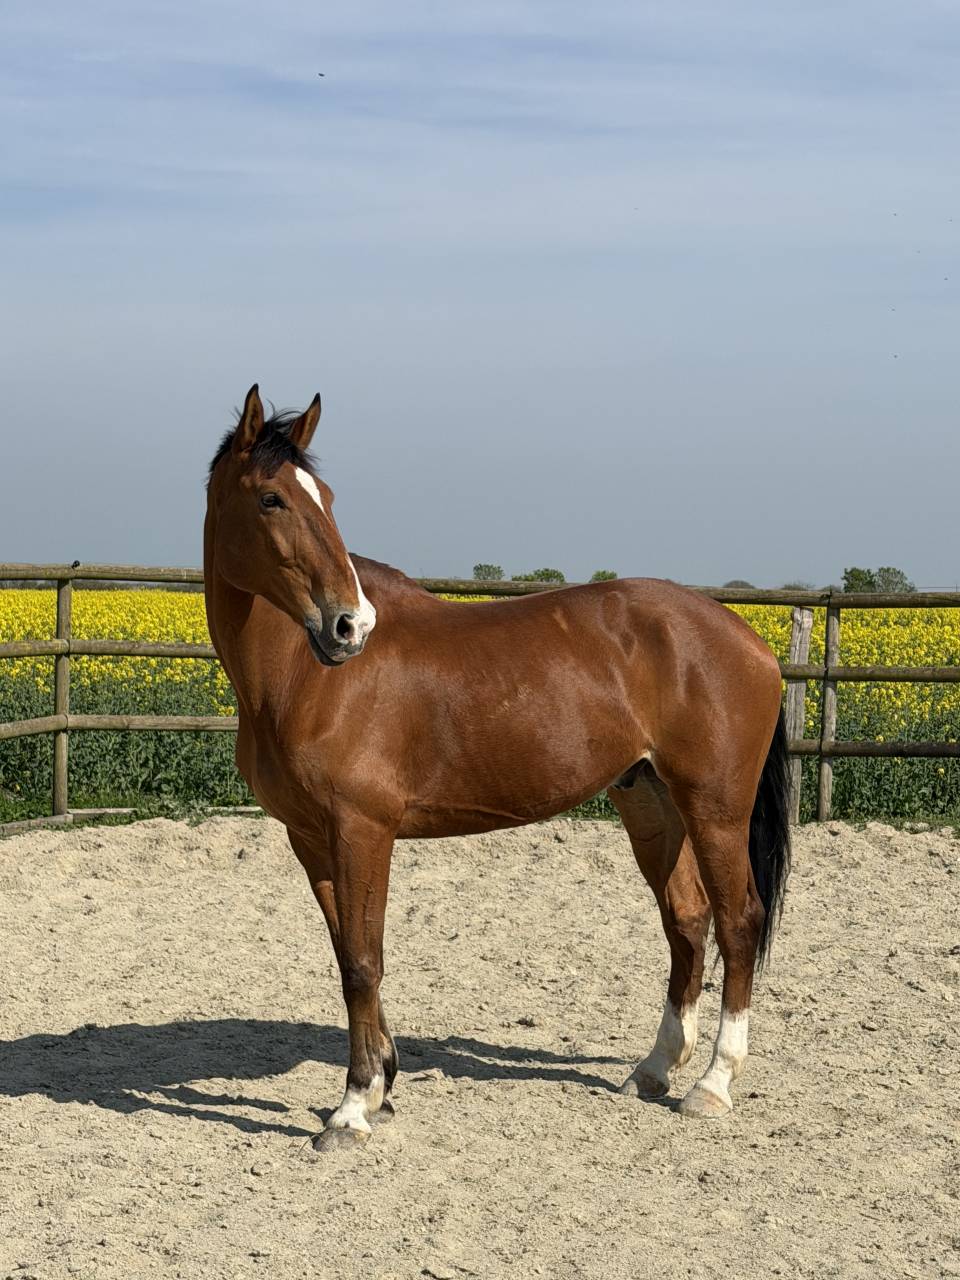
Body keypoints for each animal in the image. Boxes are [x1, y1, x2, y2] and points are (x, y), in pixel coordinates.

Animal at [204, 384, 791, 1153]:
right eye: (272, 498)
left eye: (324, 498)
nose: (349, 625)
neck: (304, 677)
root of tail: (752, 643)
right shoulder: (310, 838)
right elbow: (348, 957)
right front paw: (383, 1084)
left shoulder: (363, 831)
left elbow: (364, 961)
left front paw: (354, 1109)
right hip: (650, 802)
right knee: (687, 921)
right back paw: (655, 1069)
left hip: (716, 809)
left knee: (739, 921)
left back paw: (713, 1085)